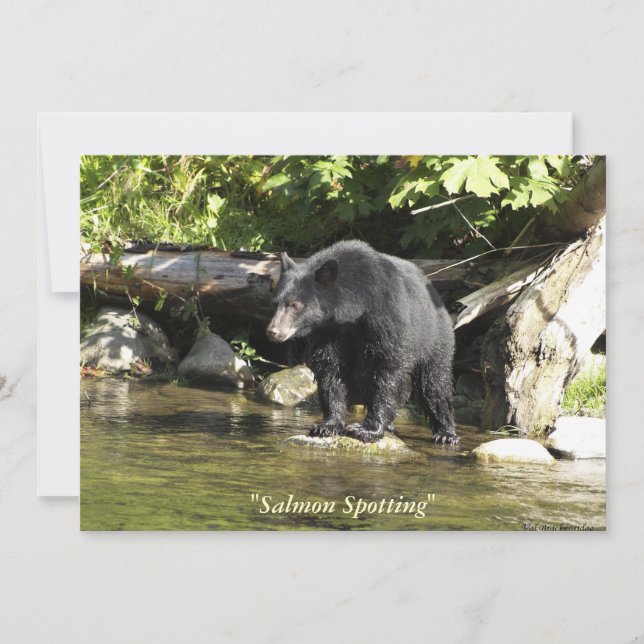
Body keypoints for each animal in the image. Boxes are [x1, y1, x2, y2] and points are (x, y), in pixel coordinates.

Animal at [266, 240, 458, 445]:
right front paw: (327, 425)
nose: (273, 331)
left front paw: (367, 430)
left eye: (294, 305)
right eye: (275, 303)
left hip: (432, 338)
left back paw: (446, 433)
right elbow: (330, 369)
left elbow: (386, 369)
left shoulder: (386, 317)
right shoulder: (329, 331)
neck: (354, 310)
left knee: (434, 383)